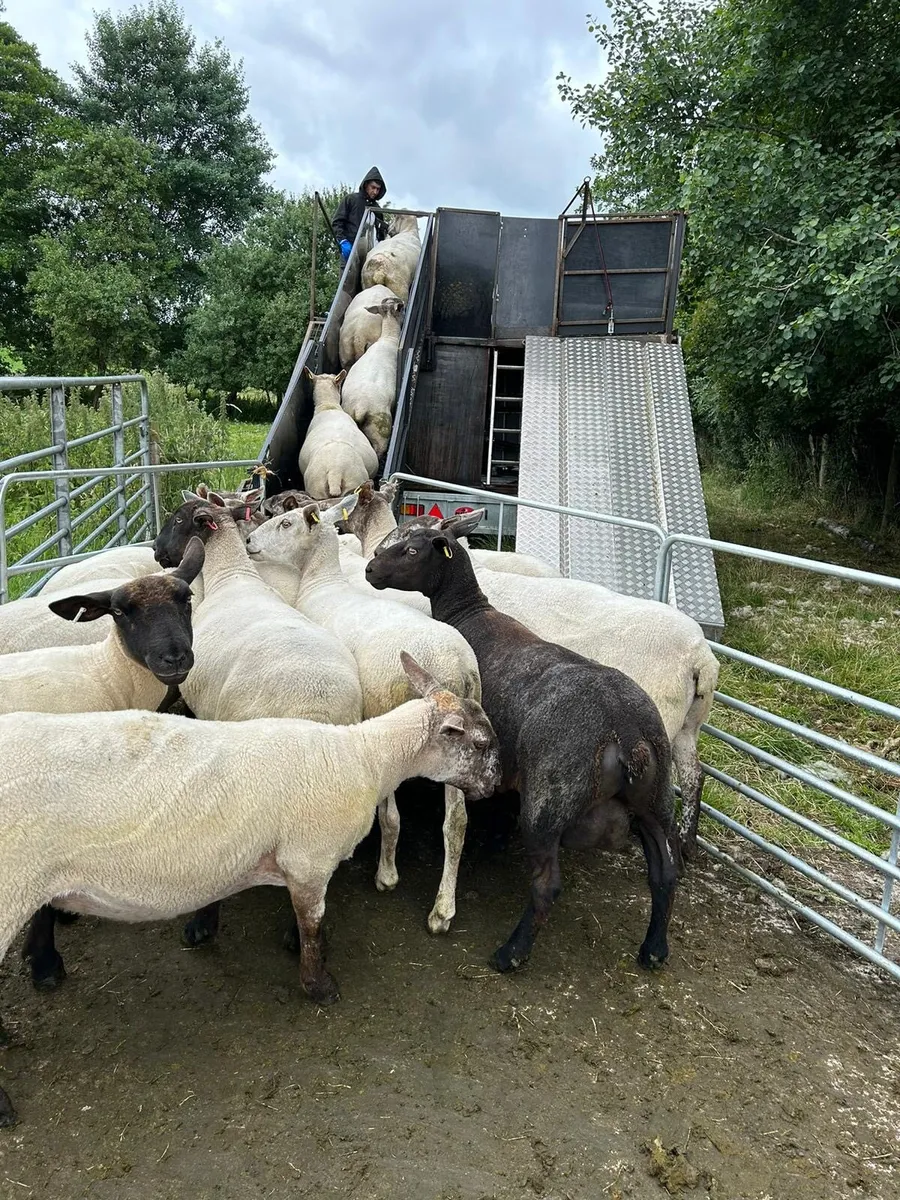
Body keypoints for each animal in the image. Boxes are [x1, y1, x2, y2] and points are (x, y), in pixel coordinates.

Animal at [0, 654, 501, 1127]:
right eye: (480, 743)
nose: (495, 785)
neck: (366, 759)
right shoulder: (308, 860)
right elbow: (312, 925)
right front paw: (320, 986)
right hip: (12, 887)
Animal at [246, 494, 484, 934]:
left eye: (286, 523)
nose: (250, 541)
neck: (322, 584)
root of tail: (457, 668)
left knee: (393, 817)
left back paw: (387, 874)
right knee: (456, 824)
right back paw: (443, 909)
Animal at [367, 525, 681, 975]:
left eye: (411, 549)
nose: (371, 569)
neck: (468, 612)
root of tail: (626, 730)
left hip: (548, 802)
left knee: (547, 885)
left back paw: (511, 952)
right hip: (655, 800)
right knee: (665, 872)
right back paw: (654, 948)